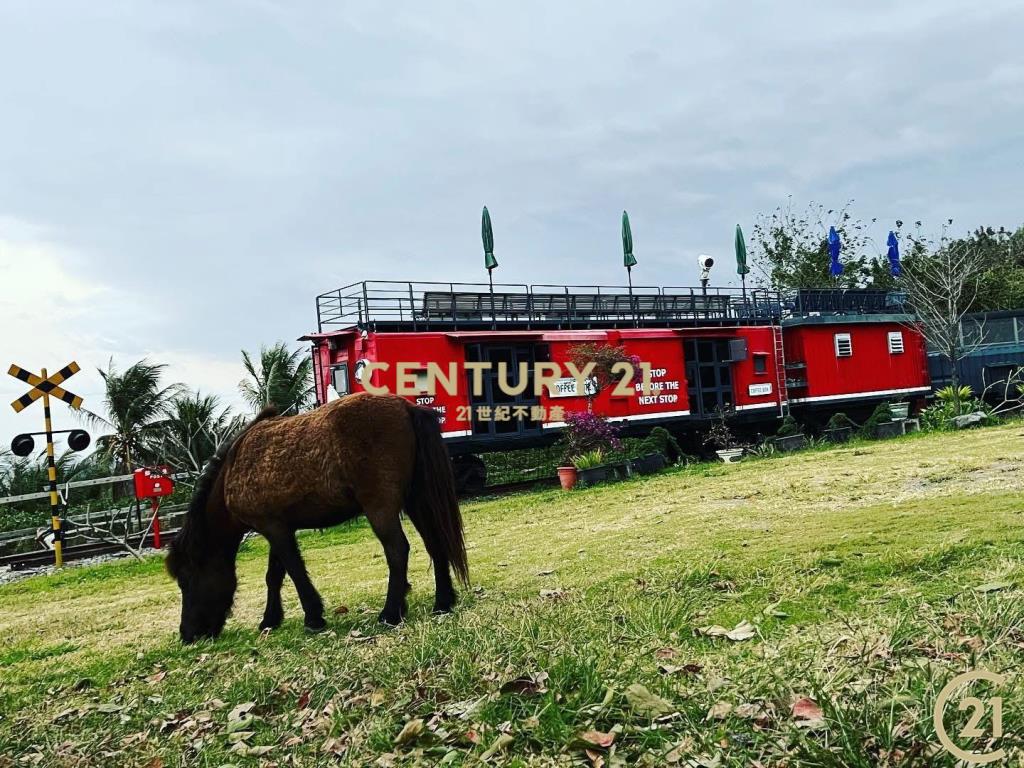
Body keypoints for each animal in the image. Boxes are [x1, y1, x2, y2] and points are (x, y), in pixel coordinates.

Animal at [166, 397, 468, 643]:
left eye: (186, 580)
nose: (188, 634)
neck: (235, 465)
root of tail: (406, 407)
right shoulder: (279, 528)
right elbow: (274, 575)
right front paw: (270, 620)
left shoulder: (273, 528)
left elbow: (294, 571)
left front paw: (313, 617)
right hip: (416, 501)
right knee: (434, 543)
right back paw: (442, 602)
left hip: (380, 507)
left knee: (397, 550)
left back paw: (391, 612)